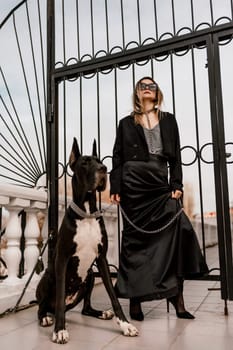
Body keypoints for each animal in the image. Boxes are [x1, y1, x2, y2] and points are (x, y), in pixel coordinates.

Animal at [36, 138, 138, 344]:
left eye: (99, 161)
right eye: (84, 163)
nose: (103, 169)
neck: (87, 214)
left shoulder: (102, 259)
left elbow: (113, 296)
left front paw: (125, 324)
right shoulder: (62, 260)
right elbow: (60, 298)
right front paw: (60, 330)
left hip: (90, 274)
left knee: (85, 308)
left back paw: (100, 313)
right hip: (47, 277)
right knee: (42, 306)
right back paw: (45, 317)